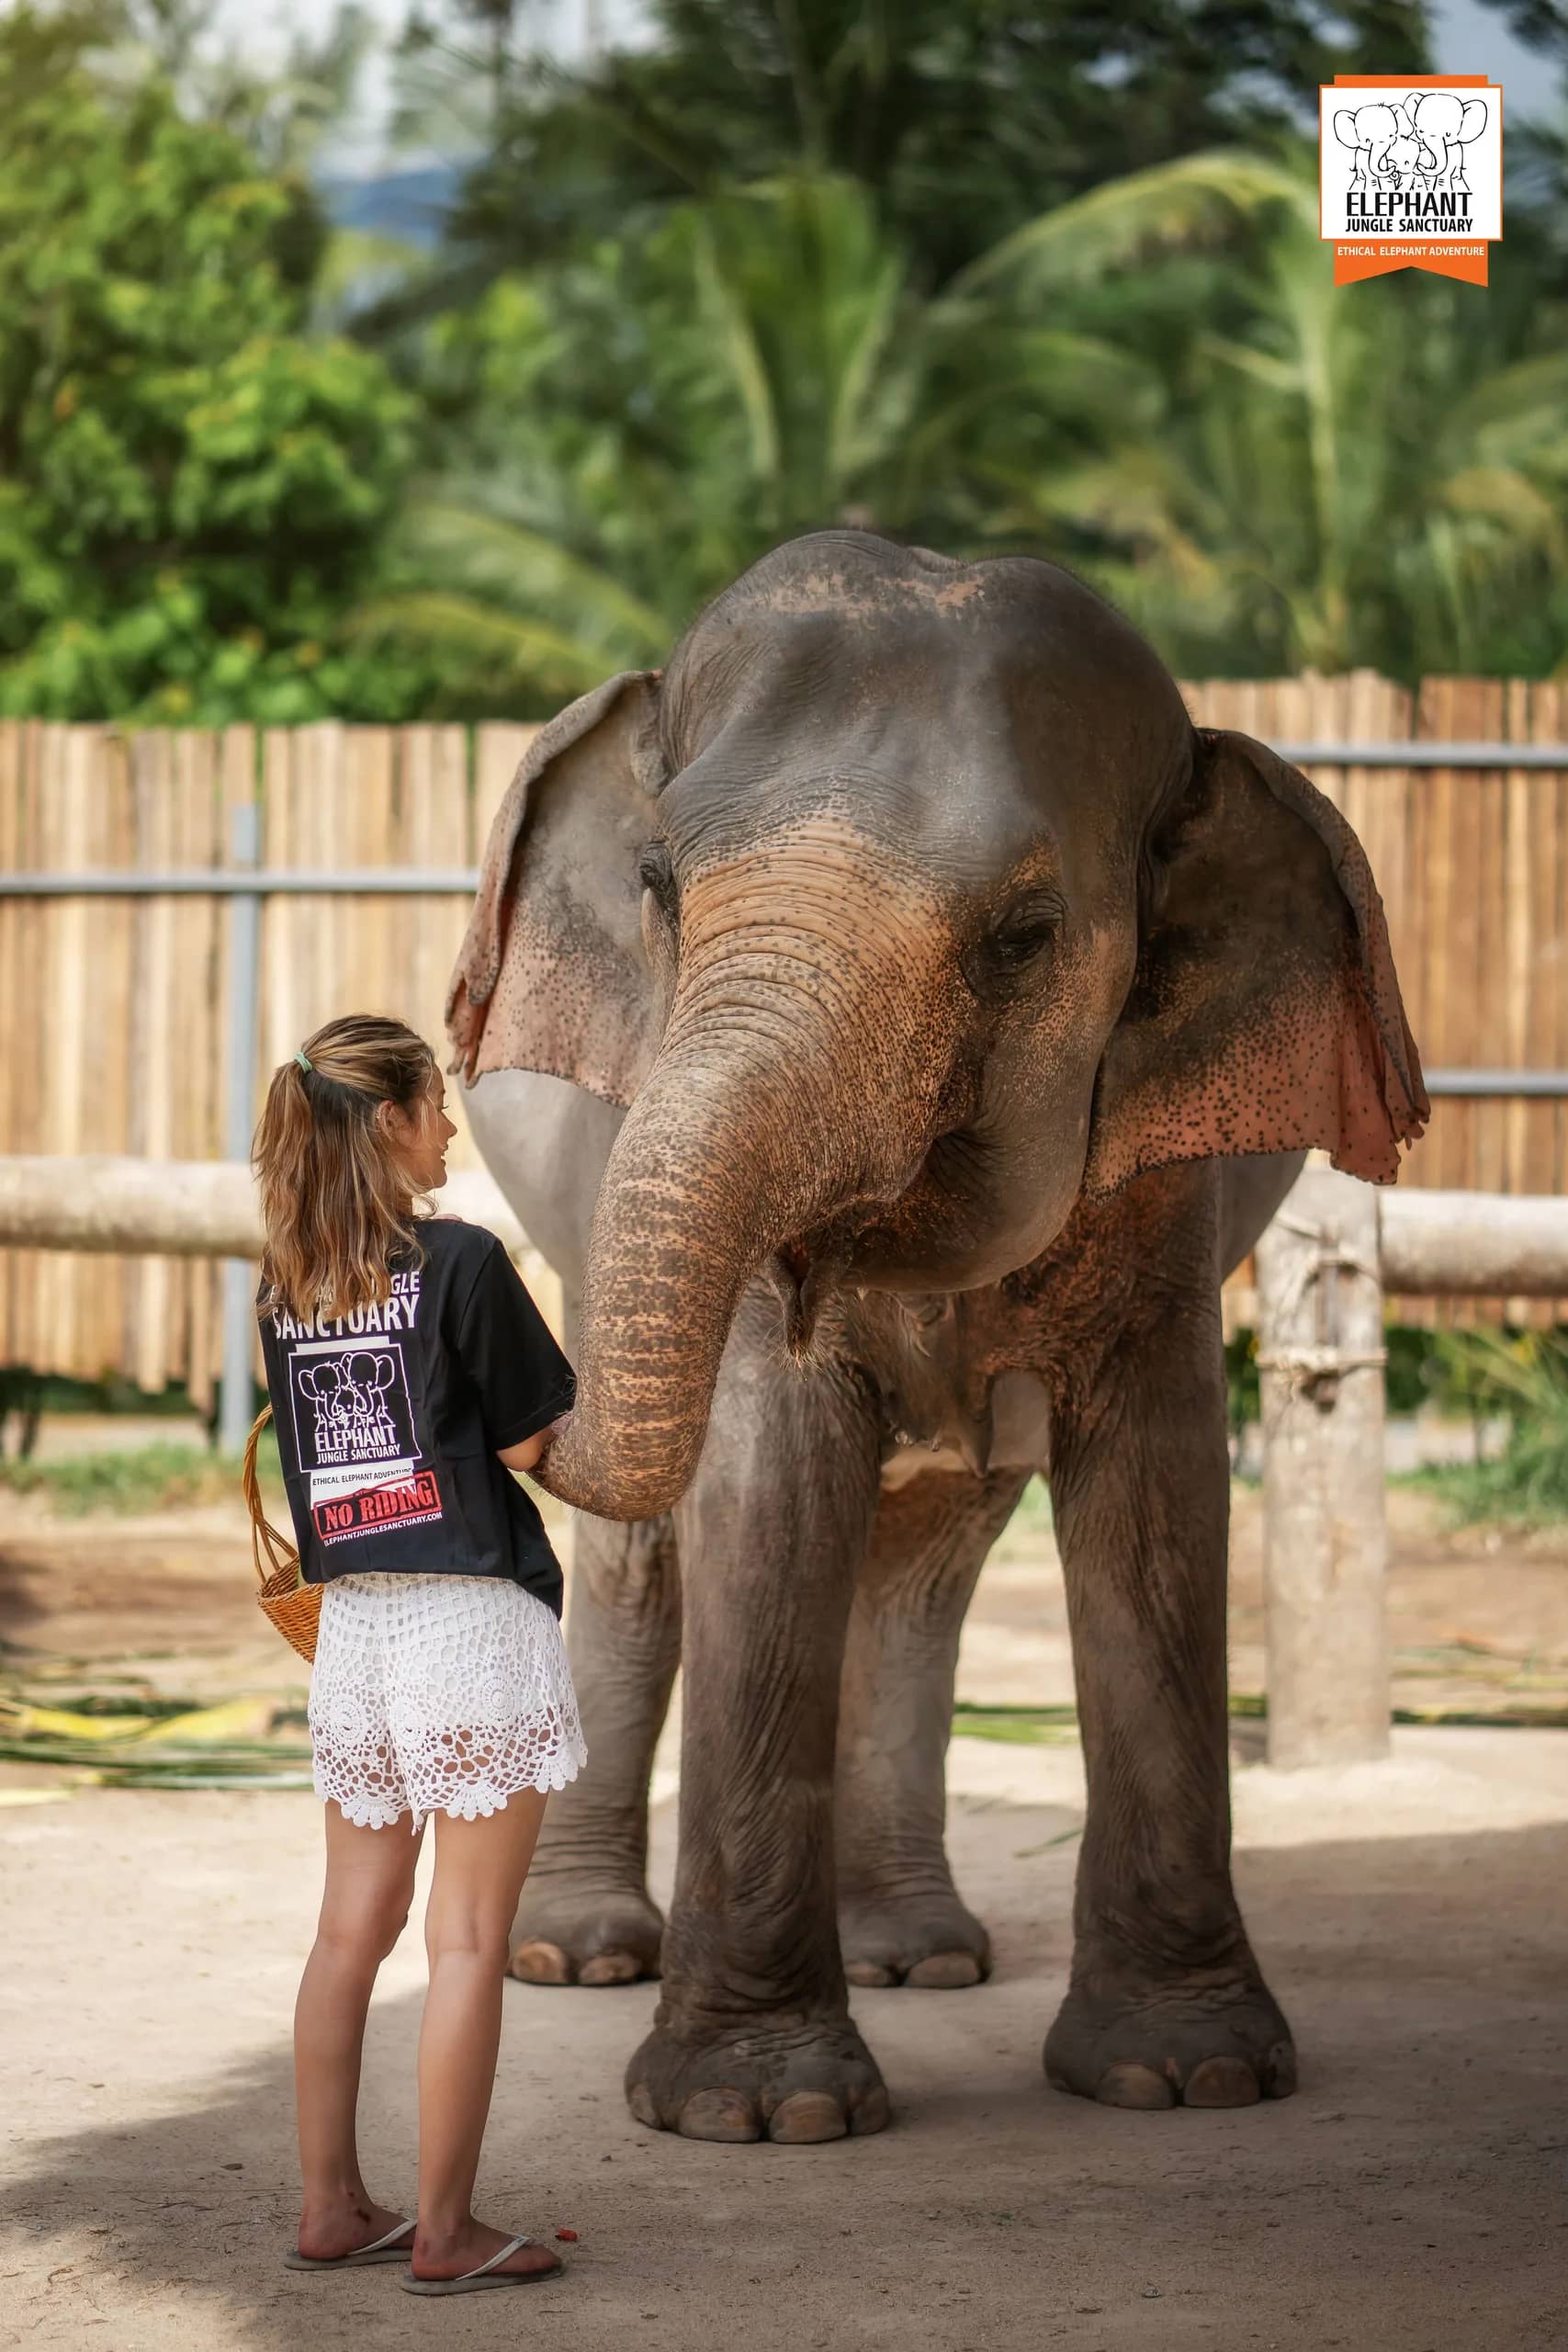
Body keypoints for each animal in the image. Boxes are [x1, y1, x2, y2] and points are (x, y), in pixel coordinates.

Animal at [447, 529, 1427, 2144]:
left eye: (1024, 938)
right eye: (657, 884)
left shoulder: (1161, 1183)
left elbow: (1156, 1499)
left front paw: (1188, 2078)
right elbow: (766, 1470)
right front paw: (757, 2116)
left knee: (924, 1562)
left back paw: (917, 1954)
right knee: (660, 1555)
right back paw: (571, 1958)